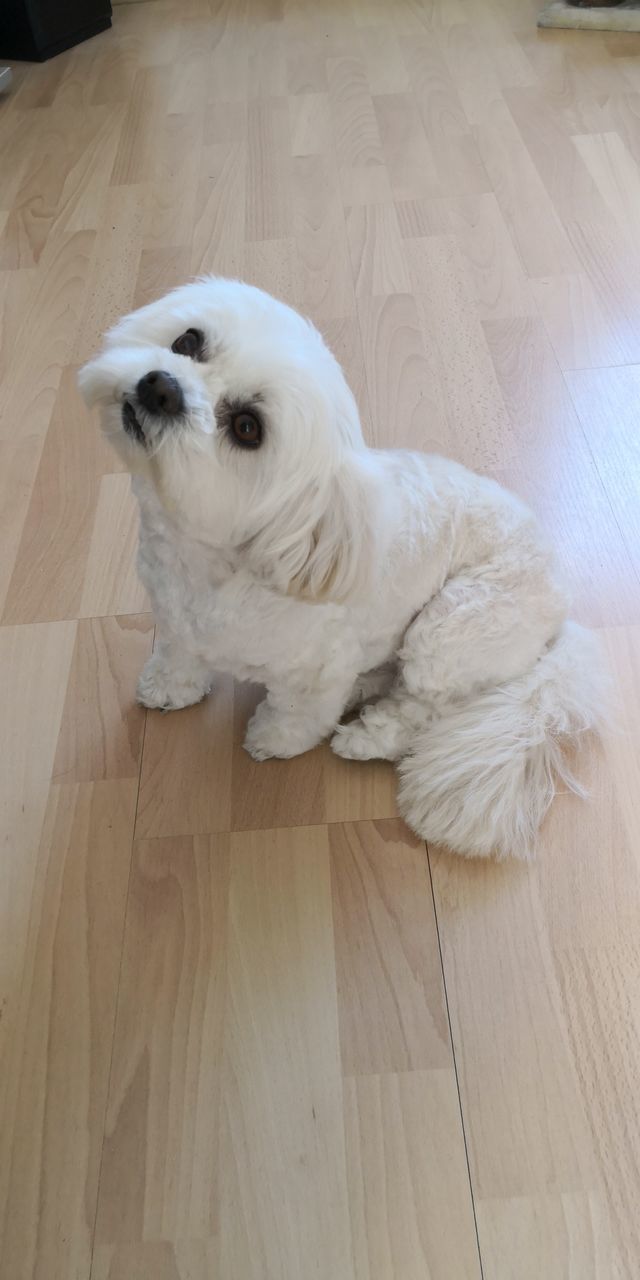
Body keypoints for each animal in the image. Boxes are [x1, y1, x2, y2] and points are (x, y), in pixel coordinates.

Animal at [78, 280, 604, 860]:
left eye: (246, 428)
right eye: (188, 341)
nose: (161, 387)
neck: (212, 567)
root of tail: (559, 611)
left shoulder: (317, 668)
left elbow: (297, 714)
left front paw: (274, 740)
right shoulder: (174, 619)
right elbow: (178, 656)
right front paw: (169, 688)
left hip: (453, 628)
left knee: (426, 706)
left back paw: (367, 736)